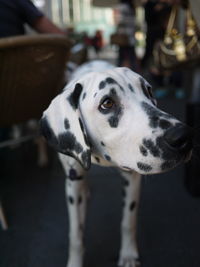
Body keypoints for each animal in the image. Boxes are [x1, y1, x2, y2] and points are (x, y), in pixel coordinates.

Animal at [40, 60, 192, 267]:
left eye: (149, 91)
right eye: (107, 103)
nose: (183, 136)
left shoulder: (132, 178)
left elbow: (128, 222)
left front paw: (128, 255)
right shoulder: (73, 184)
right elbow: (76, 235)